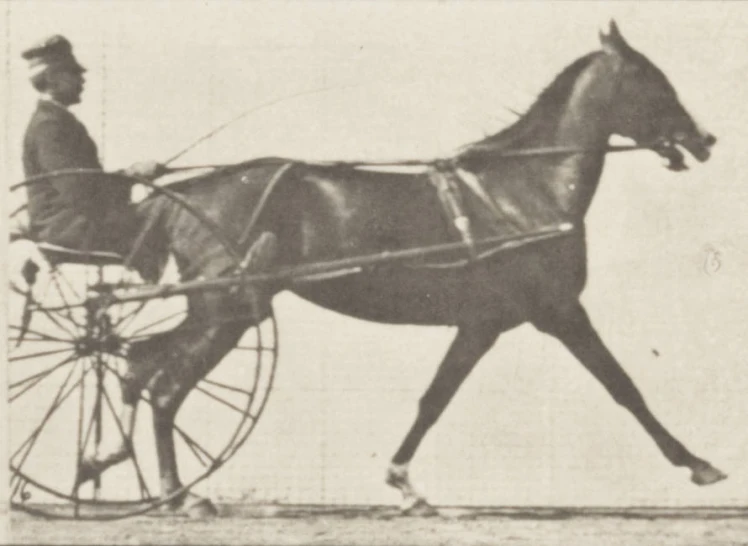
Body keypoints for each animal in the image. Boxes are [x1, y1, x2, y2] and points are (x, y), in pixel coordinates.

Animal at [82, 21, 724, 516]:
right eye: (654, 82)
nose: (706, 139)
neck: (524, 191)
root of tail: (183, 193)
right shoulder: (558, 312)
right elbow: (624, 386)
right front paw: (698, 464)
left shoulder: (481, 325)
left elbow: (433, 399)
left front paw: (405, 486)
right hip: (229, 310)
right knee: (165, 387)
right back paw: (177, 494)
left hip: (221, 310)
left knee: (137, 364)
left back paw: (109, 464)